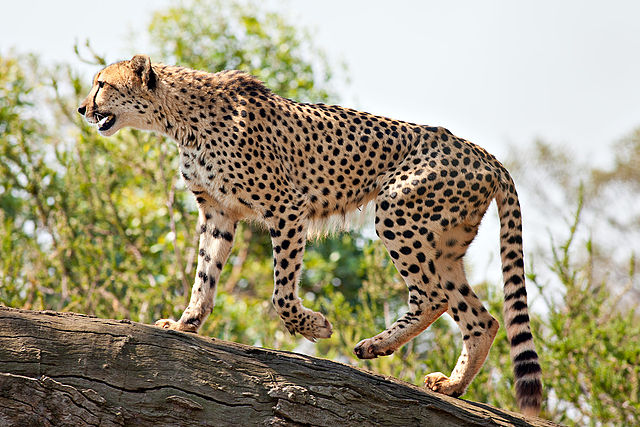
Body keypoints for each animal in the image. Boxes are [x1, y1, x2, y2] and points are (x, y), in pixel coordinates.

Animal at [78, 54, 542, 416]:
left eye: (102, 83)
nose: (82, 108)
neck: (180, 117)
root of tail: (483, 153)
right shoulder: (218, 211)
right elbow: (204, 276)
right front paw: (185, 323)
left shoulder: (286, 207)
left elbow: (281, 292)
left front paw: (313, 325)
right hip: (442, 245)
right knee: (480, 317)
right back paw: (445, 382)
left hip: (397, 214)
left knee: (435, 297)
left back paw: (385, 351)